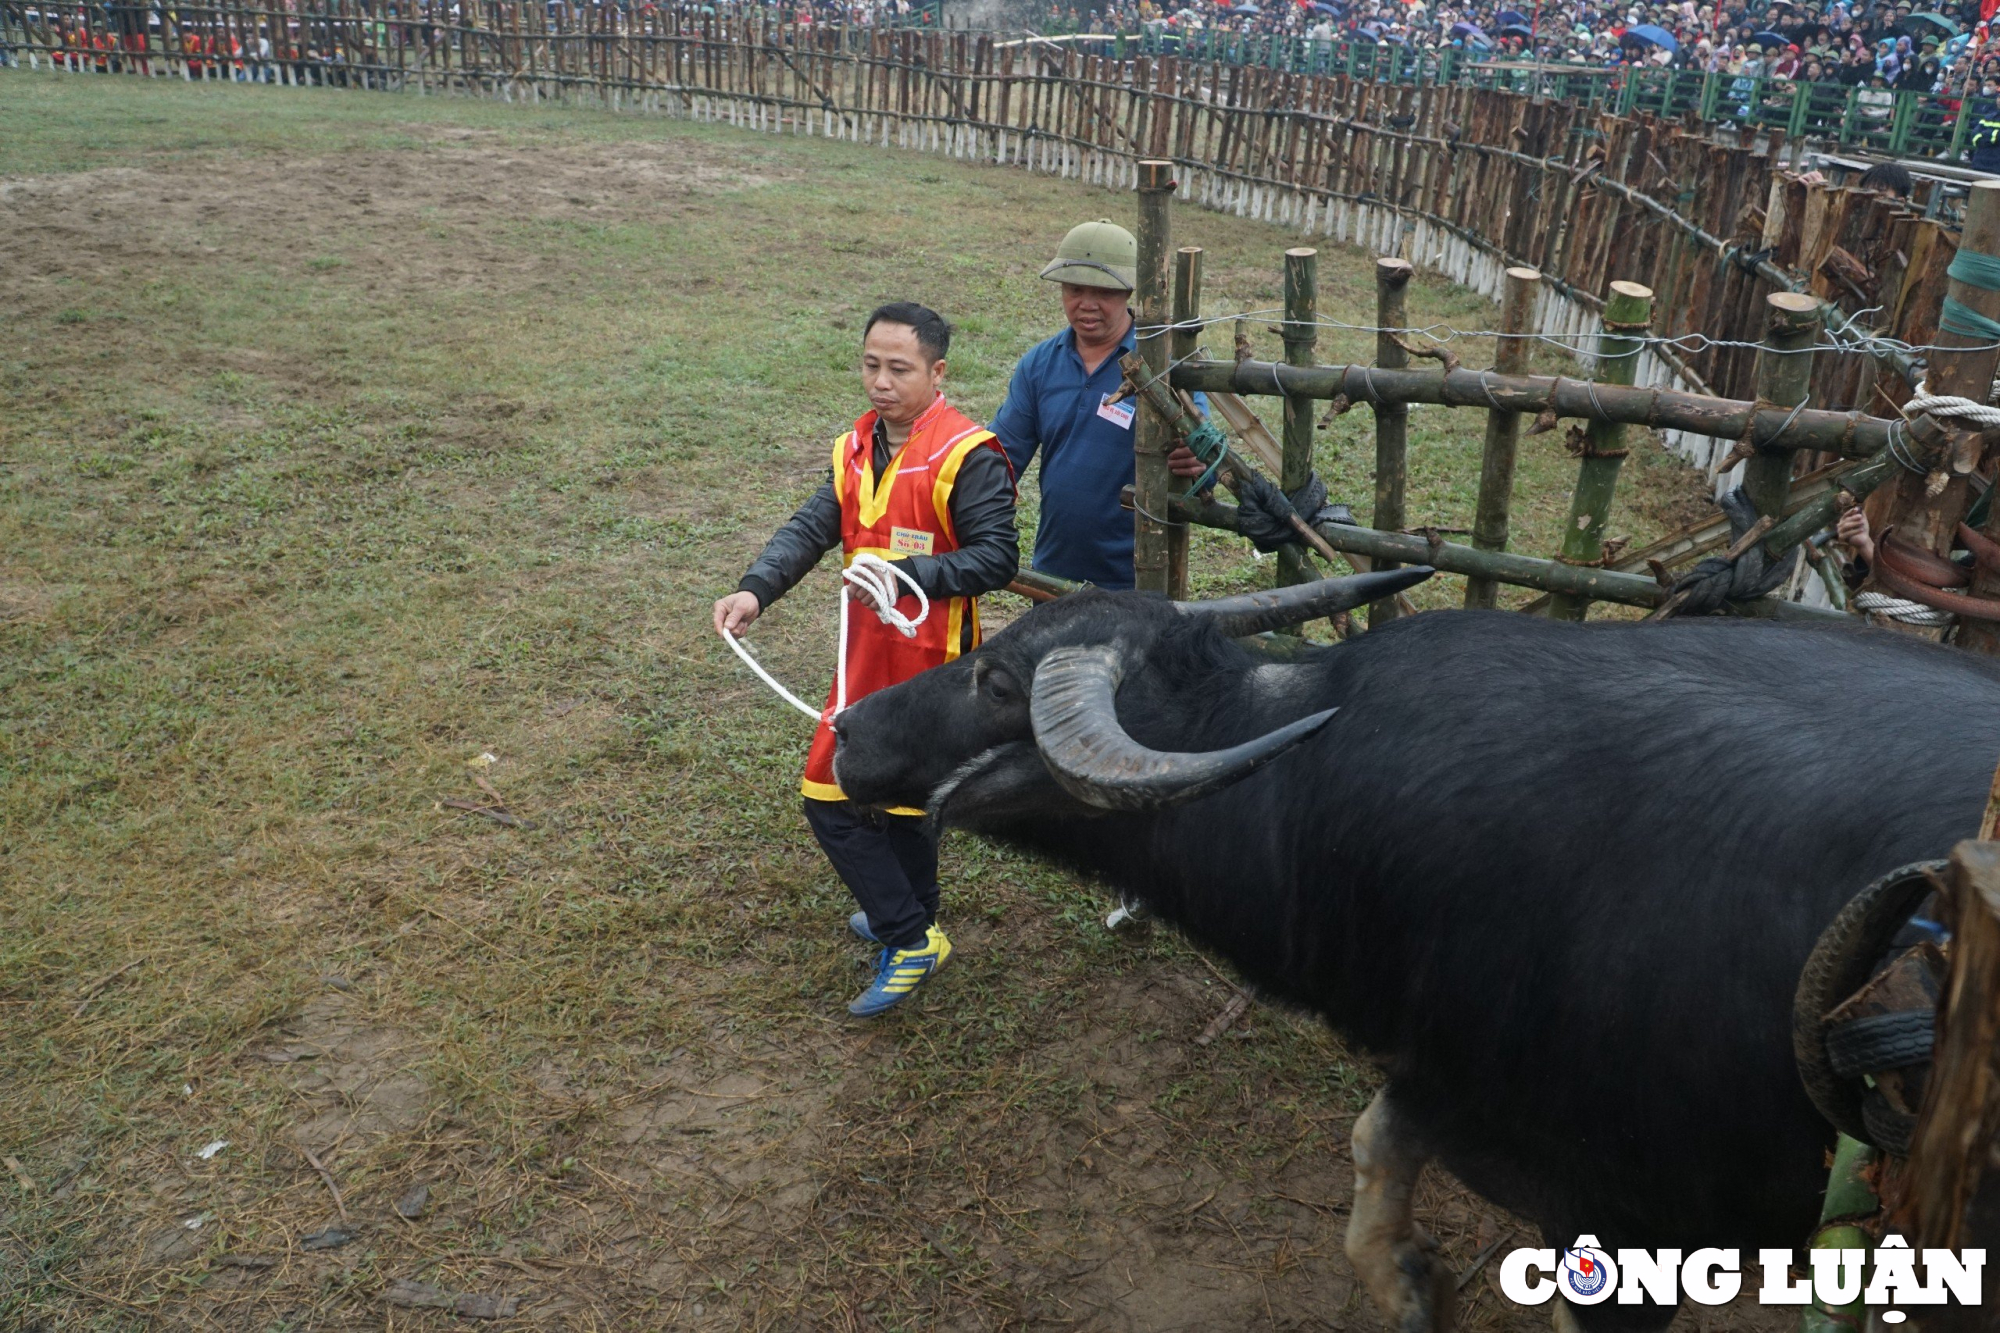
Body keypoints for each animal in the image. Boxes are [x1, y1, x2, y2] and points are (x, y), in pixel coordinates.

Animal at [824, 572, 2000, 1328]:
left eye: (994, 681)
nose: (849, 731)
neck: (1315, 791)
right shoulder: (1449, 1064)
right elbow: (1375, 1139)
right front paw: (1410, 1281)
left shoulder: (1639, 1222)